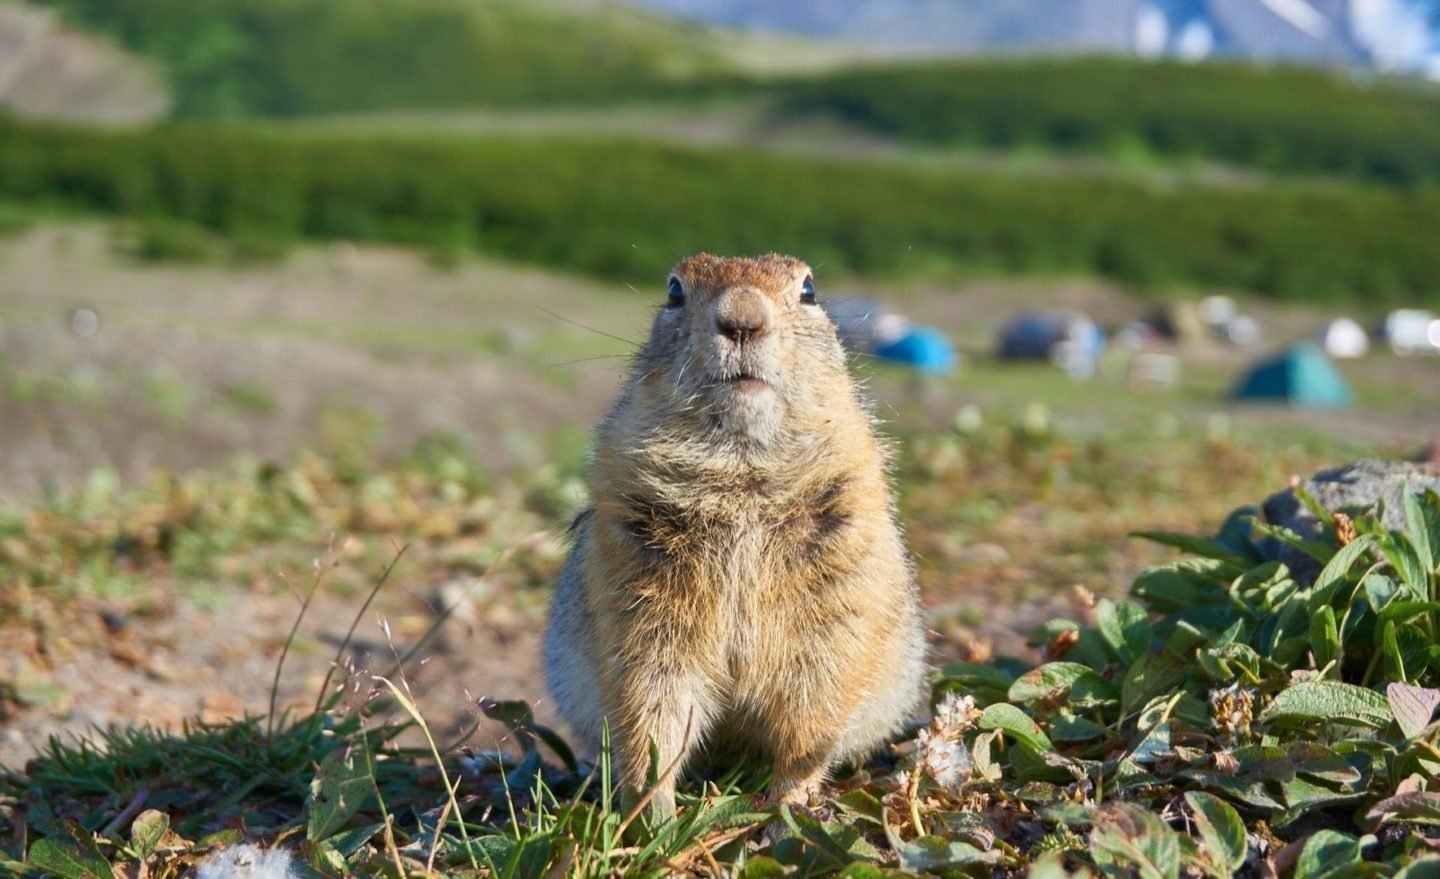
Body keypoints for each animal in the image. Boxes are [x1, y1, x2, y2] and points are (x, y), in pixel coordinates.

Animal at [544, 252, 927, 812]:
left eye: (809, 289)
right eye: (674, 290)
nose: (742, 318)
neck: (742, 479)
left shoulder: (839, 587)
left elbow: (816, 699)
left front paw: (791, 801)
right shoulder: (634, 594)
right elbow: (651, 703)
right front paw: (651, 808)